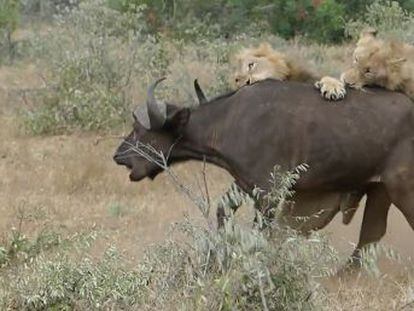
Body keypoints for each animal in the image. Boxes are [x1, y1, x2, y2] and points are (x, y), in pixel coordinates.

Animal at [113, 78, 414, 264]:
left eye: (139, 130)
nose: (118, 156)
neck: (230, 120)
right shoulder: (244, 185)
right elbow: (223, 211)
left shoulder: (268, 194)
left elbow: (261, 235)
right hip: (379, 191)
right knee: (370, 236)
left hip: (403, 190)